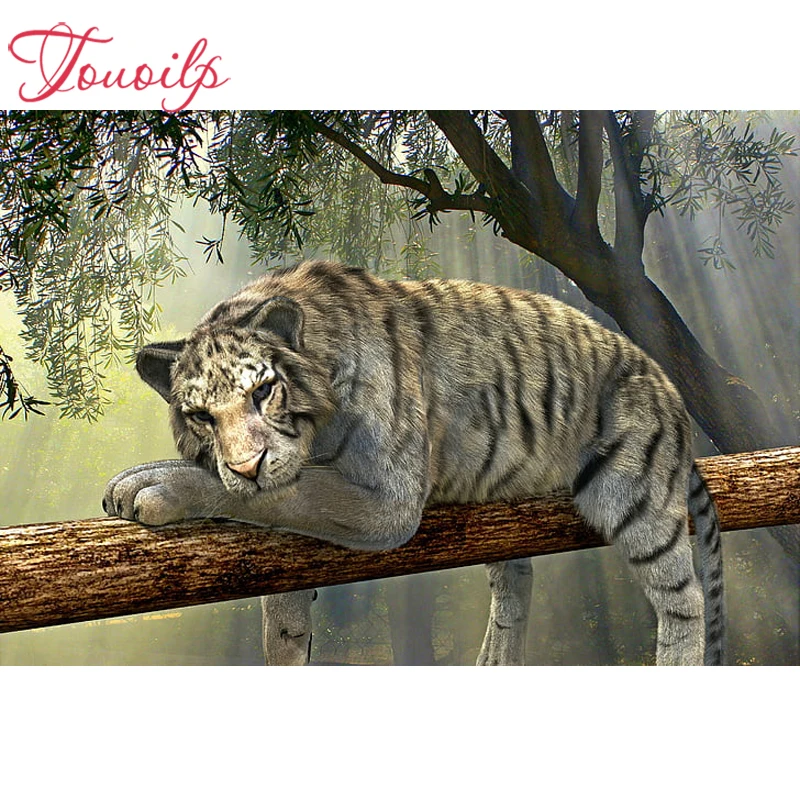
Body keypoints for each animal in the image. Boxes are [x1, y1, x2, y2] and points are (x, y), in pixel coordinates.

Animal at [103, 259, 726, 666]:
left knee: (685, 602)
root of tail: (667, 386)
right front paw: (287, 643)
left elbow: (289, 495)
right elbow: (282, 590)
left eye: (263, 392)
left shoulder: (388, 503)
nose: (248, 465)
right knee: (516, 578)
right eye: (201, 416)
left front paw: (152, 485)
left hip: (634, 497)